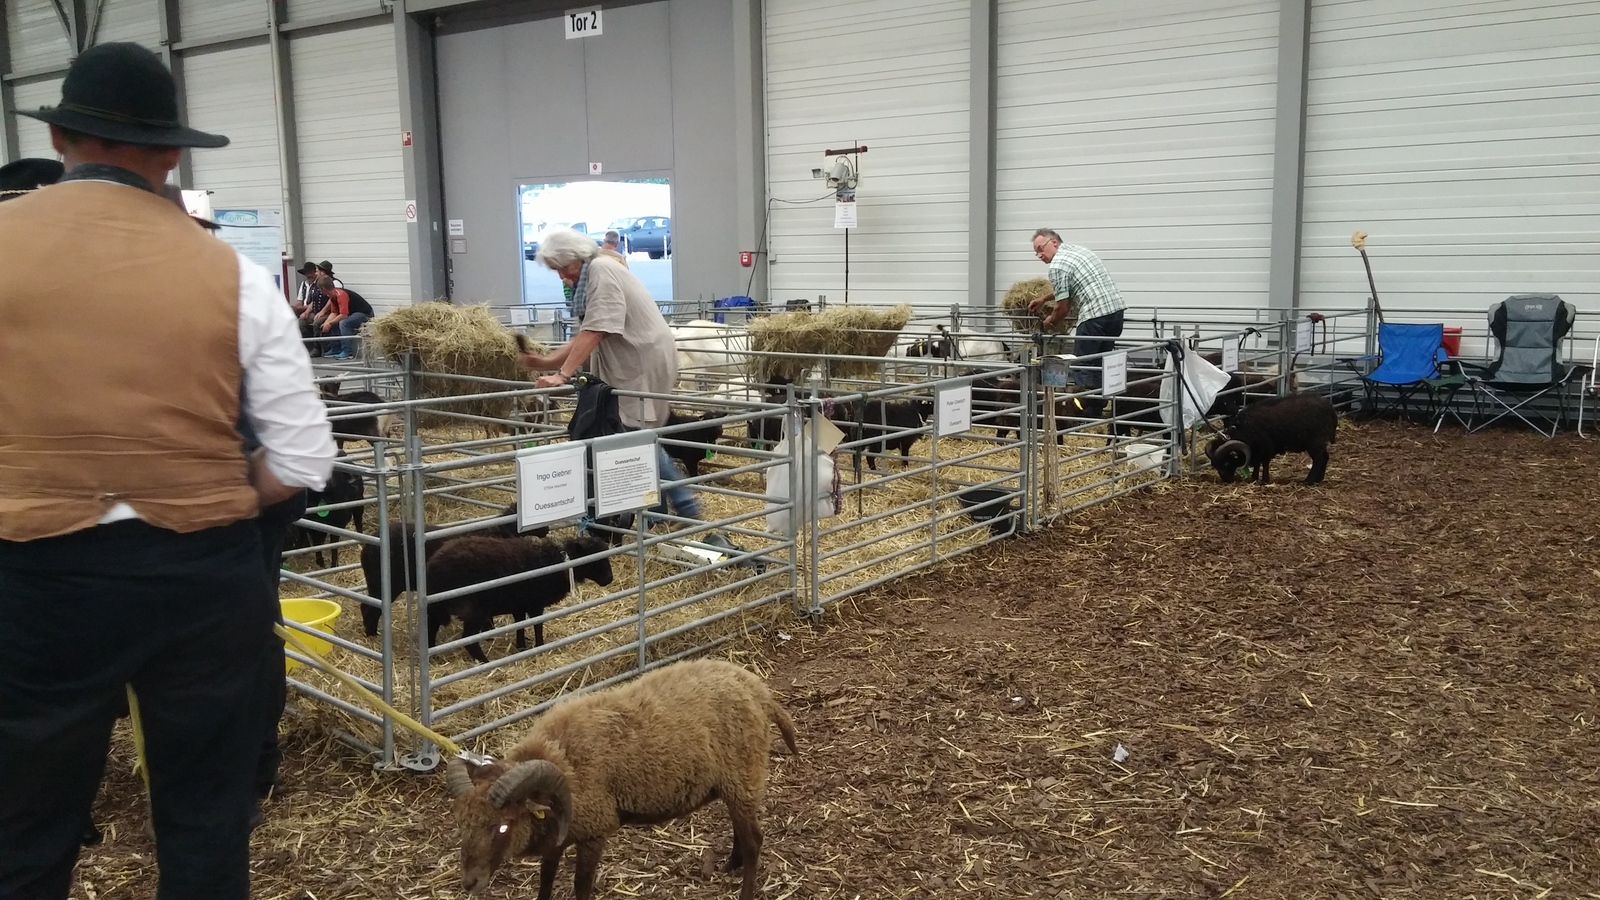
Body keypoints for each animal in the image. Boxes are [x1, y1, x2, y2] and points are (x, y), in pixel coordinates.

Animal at [426, 534, 615, 663]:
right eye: (596, 558)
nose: (609, 579)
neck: (557, 563)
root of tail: (433, 568)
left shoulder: (519, 605)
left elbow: (520, 626)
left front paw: (521, 646)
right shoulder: (535, 604)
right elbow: (537, 625)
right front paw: (539, 646)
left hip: (436, 607)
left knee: (431, 628)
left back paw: (432, 655)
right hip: (474, 610)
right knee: (468, 640)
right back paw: (485, 662)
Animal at [446, 658, 798, 900]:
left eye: (502, 826)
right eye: (461, 824)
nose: (470, 883)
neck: (561, 761)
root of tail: (756, 688)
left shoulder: (594, 831)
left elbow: (581, 887)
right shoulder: (557, 838)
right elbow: (545, 881)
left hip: (744, 774)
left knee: (754, 841)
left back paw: (745, 890)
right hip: (735, 782)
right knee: (742, 828)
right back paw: (729, 866)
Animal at [1204, 392, 1338, 485]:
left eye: (1226, 463)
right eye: (1214, 465)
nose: (1226, 479)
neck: (1244, 430)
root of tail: (1330, 408)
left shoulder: (1266, 448)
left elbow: (1264, 463)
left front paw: (1264, 480)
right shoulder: (1256, 449)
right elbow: (1257, 463)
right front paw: (1254, 478)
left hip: (1315, 442)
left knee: (1319, 459)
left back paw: (1309, 481)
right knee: (1325, 457)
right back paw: (1319, 479)